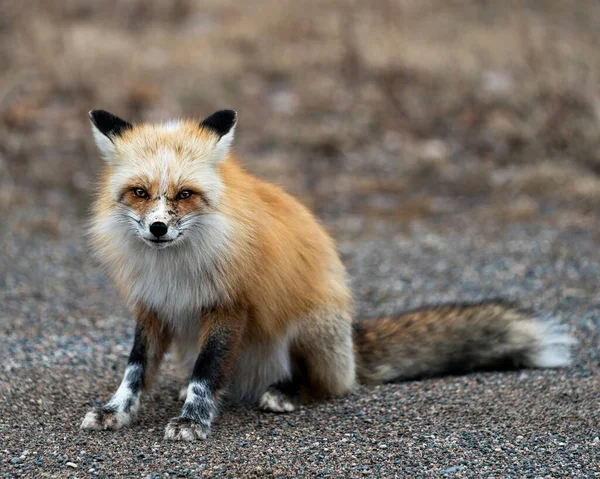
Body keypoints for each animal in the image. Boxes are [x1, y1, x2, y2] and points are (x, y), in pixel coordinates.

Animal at [79, 109, 572, 442]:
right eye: (140, 193)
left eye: (184, 194)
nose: (158, 229)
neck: (173, 269)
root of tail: (350, 345)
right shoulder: (152, 306)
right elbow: (136, 370)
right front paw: (116, 412)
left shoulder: (228, 305)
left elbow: (206, 372)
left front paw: (191, 419)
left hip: (309, 329)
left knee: (331, 387)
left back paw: (286, 393)